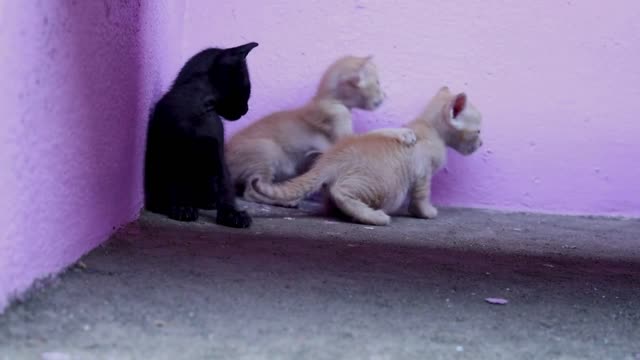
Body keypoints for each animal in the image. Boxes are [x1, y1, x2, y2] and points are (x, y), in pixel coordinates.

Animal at [144, 42, 258, 228]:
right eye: (246, 90)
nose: (245, 109)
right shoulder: (171, 150)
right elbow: (175, 181)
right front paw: (182, 207)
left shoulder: (216, 152)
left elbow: (224, 184)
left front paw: (230, 214)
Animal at [225, 56, 384, 202]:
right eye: (378, 83)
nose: (385, 95)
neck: (329, 100)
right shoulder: (341, 126)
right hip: (266, 151)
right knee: (251, 192)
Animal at [248, 87, 482, 225]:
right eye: (478, 131)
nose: (481, 144)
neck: (429, 128)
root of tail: (331, 158)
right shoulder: (423, 172)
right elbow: (421, 196)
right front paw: (426, 212)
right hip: (384, 184)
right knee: (341, 192)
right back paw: (374, 216)